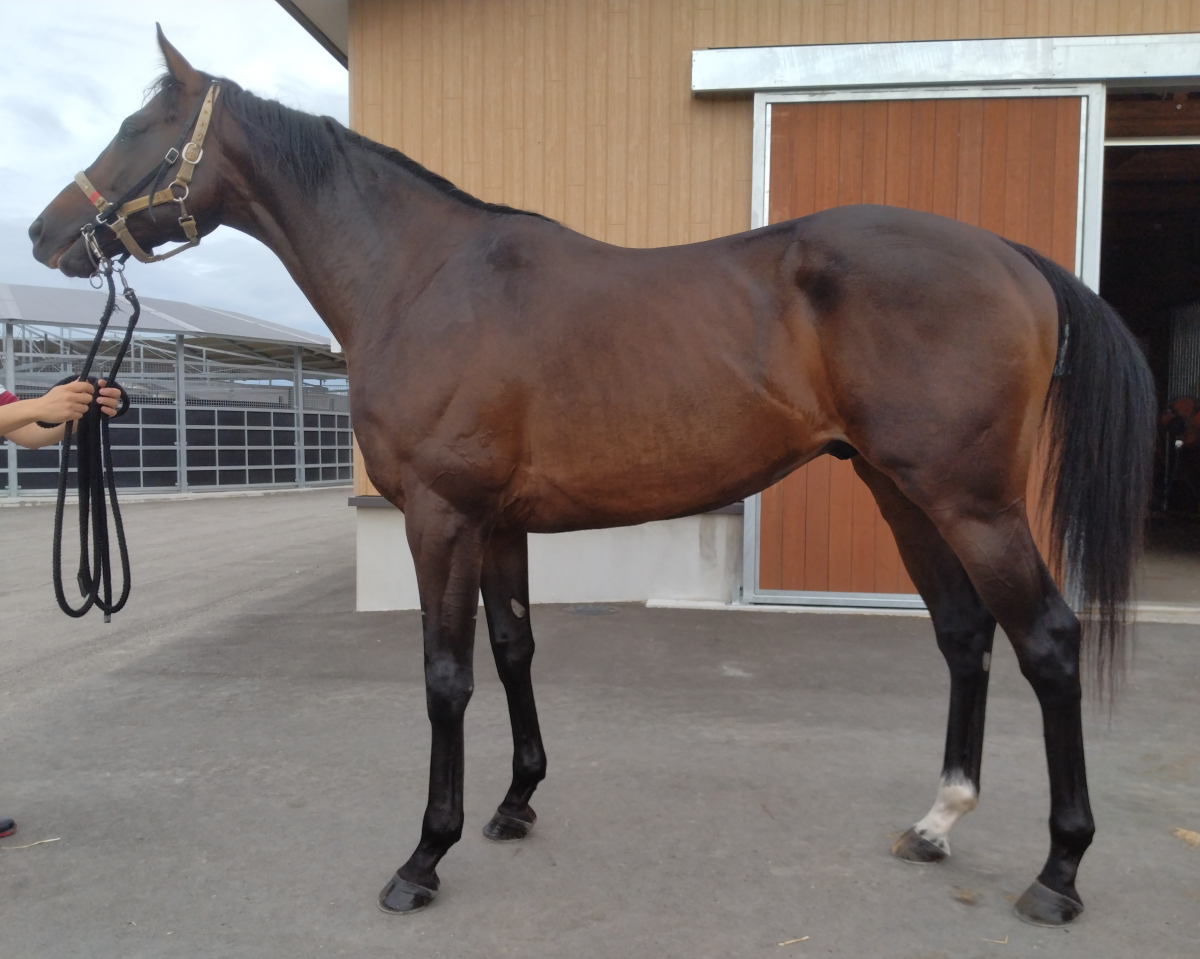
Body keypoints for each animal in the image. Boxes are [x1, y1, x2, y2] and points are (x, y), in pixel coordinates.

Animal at [29, 29, 1154, 927]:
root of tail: (1009, 255)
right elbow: (515, 649)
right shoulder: (497, 523)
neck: (422, 277)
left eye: (138, 125)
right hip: (900, 489)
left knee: (1047, 640)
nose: (45, 233)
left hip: (973, 501)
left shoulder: (439, 517)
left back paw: (1059, 870)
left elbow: (446, 678)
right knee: (965, 636)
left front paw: (423, 855)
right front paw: (515, 801)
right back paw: (937, 819)